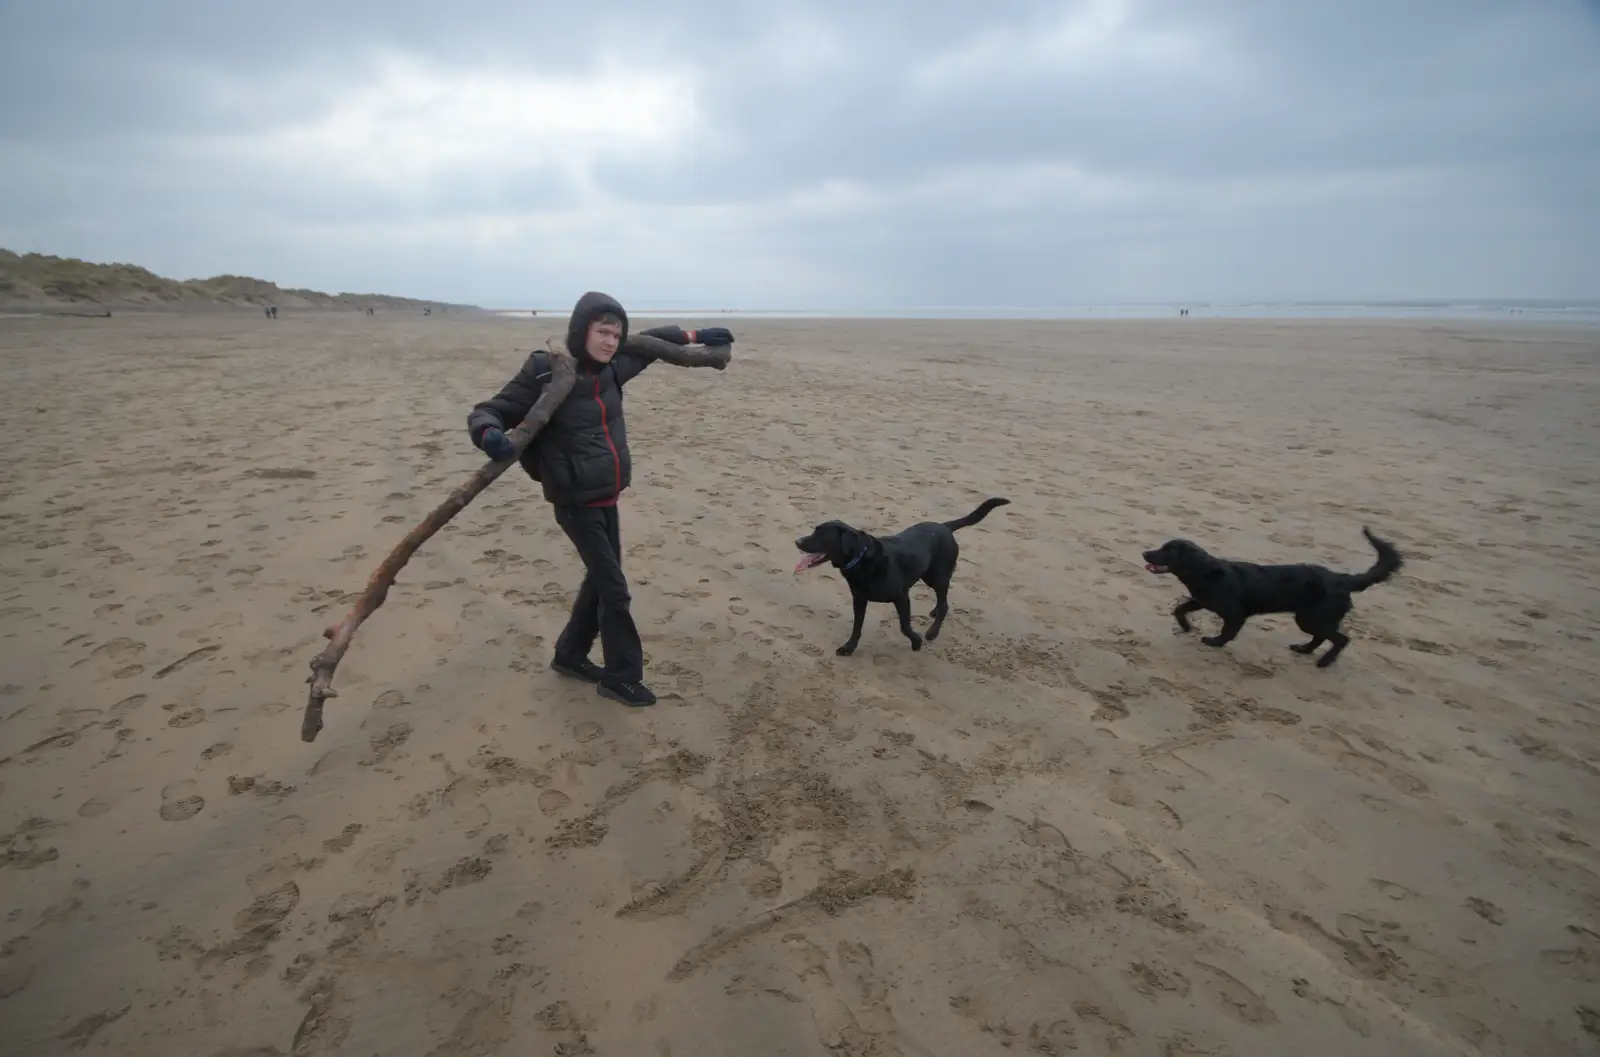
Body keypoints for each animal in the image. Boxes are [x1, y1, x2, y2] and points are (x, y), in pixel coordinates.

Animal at [790, 495, 1004, 652]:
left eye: (821, 534)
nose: (797, 541)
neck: (862, 559)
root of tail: (944, 526)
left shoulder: (901, 597)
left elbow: (904, 626)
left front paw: (916, 642)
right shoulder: (859, 599)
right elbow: (857, 626)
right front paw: (849, 647)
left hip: (937, 576)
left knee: (944, 604)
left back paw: (932, 632)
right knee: (942, 600)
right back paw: (934, 612)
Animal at [1139, 527, 1401, 668]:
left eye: (1168, 550)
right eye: (1162, 546)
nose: (1144, 553)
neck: (1207, 573)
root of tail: (1342, 579)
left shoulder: (1235, 614)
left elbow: (1227, 632)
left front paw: (1214, 642)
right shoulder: (1202, 601)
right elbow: (1179, 609)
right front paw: (1186, 627)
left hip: (1311, 617)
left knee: (1340, 639)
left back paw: (1324, 662)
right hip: (1309, 618)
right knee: (1321, 637)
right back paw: (1303, 649)